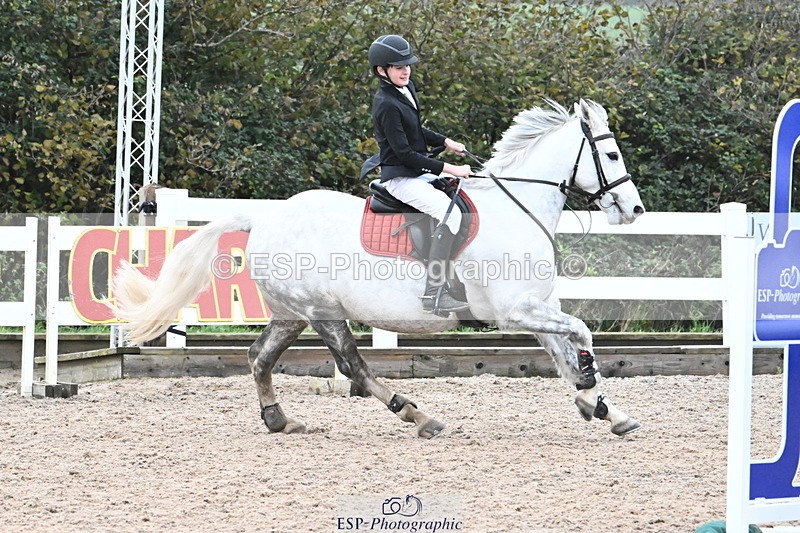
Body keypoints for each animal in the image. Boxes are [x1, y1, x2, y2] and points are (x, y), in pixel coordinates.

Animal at [111, 98, 646, 438]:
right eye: (611, 153)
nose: (633, 209)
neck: (518, 209)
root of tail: (263, 217)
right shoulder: (514, 311)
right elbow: (580, 336)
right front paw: (592, 388)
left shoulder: (536, 305)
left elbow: (563, 351)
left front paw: (603, 408)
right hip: (322, 312)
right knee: (354, 366)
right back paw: (417, 416)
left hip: (291, 313)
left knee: (259, 357)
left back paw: (281, 420)